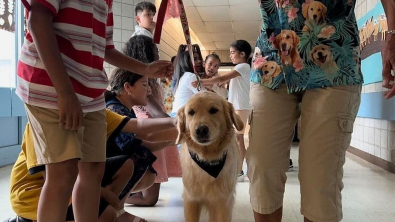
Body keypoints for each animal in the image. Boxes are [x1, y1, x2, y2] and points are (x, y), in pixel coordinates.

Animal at [176, 91, 244, 221]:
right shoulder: (191, 199)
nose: (201, 130)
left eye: (213, 110)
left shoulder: (223, 202)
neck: (208, 159)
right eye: (191, 112)